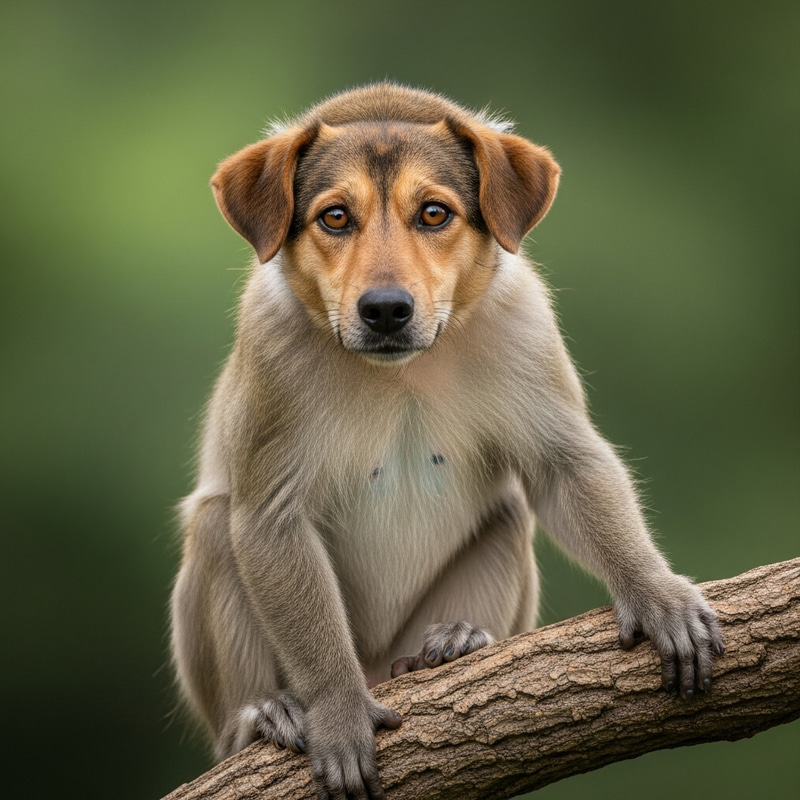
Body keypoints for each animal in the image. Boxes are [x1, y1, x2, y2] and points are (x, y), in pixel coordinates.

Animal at [170, 83, 724, 800]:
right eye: (336, 217)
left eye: (434, 213)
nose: (384, 308)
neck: (402, 365)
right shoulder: (272, 356)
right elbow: (269, 520)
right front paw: (336, 706)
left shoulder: (521, 325)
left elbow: (567, 467)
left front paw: (654, 591)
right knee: (218, 523)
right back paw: (264, 713)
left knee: (510, 512)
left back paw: (459, 640)